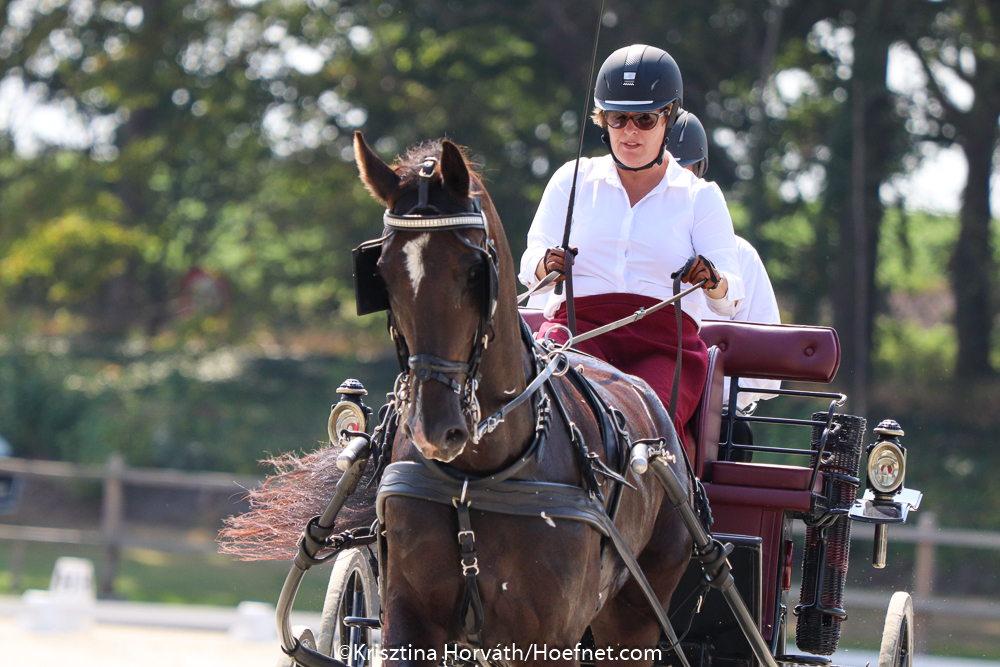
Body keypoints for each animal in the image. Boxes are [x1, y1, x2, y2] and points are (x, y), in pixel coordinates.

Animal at [355, 131, 693, 666]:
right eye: (382, 276)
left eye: (475, 273)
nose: (434, 428)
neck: (478, 474)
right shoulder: (409, 619)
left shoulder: (547, 638)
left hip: (635, 616)